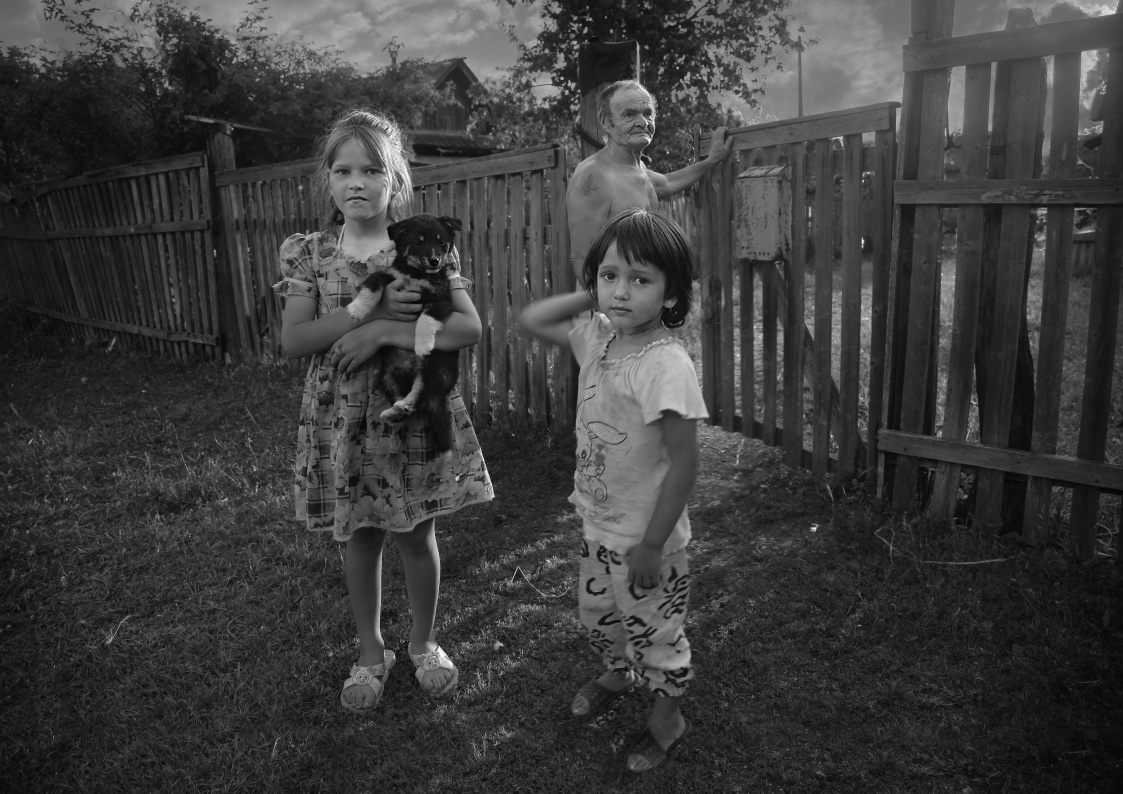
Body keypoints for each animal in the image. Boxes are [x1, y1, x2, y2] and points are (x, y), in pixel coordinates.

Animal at [347, 213, 463, 455]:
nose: (435, 261)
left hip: (433, 370)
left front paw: (422, 345)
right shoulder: (388, 276)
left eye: (441, 242)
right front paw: (357, 309)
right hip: (388, 376)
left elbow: (426, 319)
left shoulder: (441, 299)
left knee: (420, 397)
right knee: (408, 401)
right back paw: (394, 411)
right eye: (418, 242)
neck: (417, 273)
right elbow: (373, 285)